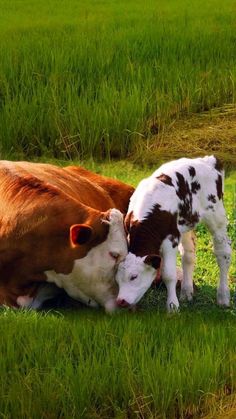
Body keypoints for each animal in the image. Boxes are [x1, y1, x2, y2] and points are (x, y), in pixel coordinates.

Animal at [115, 157, 231, 312]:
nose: (120, 301)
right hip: (186, 223)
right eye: (117, 279)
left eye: (134, 276)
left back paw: (223, 297)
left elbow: (169, 275)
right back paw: (186, 293)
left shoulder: (171, 239)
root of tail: (209, 160)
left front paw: (172, 306)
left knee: (223, 253)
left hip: (216, 215)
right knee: (188, 255)